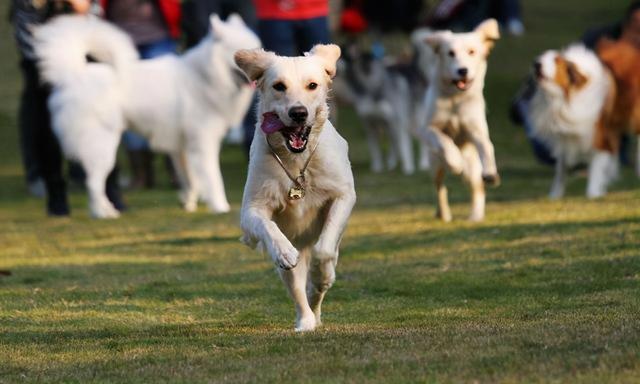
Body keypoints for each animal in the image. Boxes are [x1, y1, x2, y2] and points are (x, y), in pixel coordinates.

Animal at [33, 13, 260, 218]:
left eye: (257, 49)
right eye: (239, 54)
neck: (204, 76)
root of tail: (74, 75)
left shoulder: (182, 149)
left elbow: (190, 180)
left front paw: (188, 203)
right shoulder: (203, 143)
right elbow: (213, 179)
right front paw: (220, 207)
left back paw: (109, 210)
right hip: (102, 146)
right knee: (93, 183)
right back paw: (101, 214)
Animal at [235, 44, 358, 332]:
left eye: (312, 85)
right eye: (279, 86)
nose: (298, 113)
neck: (297, 162)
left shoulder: (343, 195)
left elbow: (323, 251)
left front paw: (320, 277)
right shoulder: (251, 209)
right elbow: (268, 227)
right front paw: (284, 251)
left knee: (320, 275)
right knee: (297, 288)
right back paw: (306, 321)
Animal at [416, 18, 500, 222]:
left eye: (472, 52)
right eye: (450, 53)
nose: (463, 70)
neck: (456, 98)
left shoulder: (477, 131)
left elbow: (487, 146)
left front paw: (491, 173)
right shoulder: (428, 129)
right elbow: (443, 140)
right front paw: (455, 161)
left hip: (473, 167)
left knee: (477, 186)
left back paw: (476, 215)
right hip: (435, 165)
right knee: (440, 188)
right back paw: (444, 213)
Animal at [528, 45, 616, 200]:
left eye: (556, 60)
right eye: (541, 56)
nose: (536, 63)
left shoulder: (600, 137)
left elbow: (597, 167)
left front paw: (593, 194)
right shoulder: (565, 140)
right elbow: (561, 171)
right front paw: (554, 196)